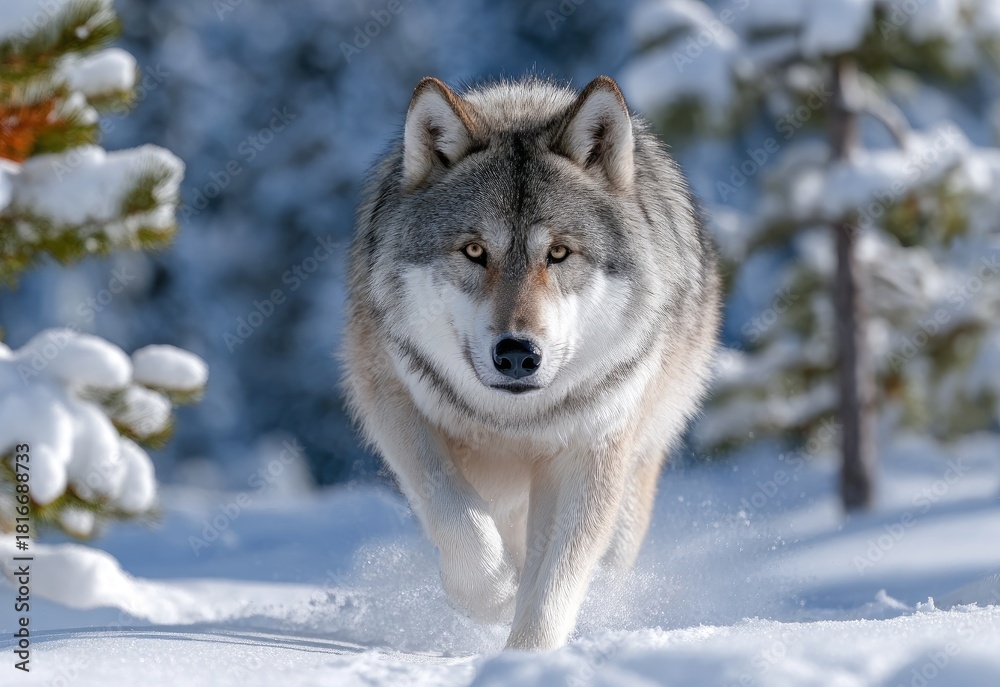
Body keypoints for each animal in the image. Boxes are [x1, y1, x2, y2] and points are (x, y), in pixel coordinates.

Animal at [343, 75, 720, 650]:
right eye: (475, 251)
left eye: (558, 253)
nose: (517, 353)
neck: (515, 421)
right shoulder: (395, 401)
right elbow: (455, 513)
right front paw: (491, 594)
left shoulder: (588, 449)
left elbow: (553, 585)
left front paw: (527, 657)